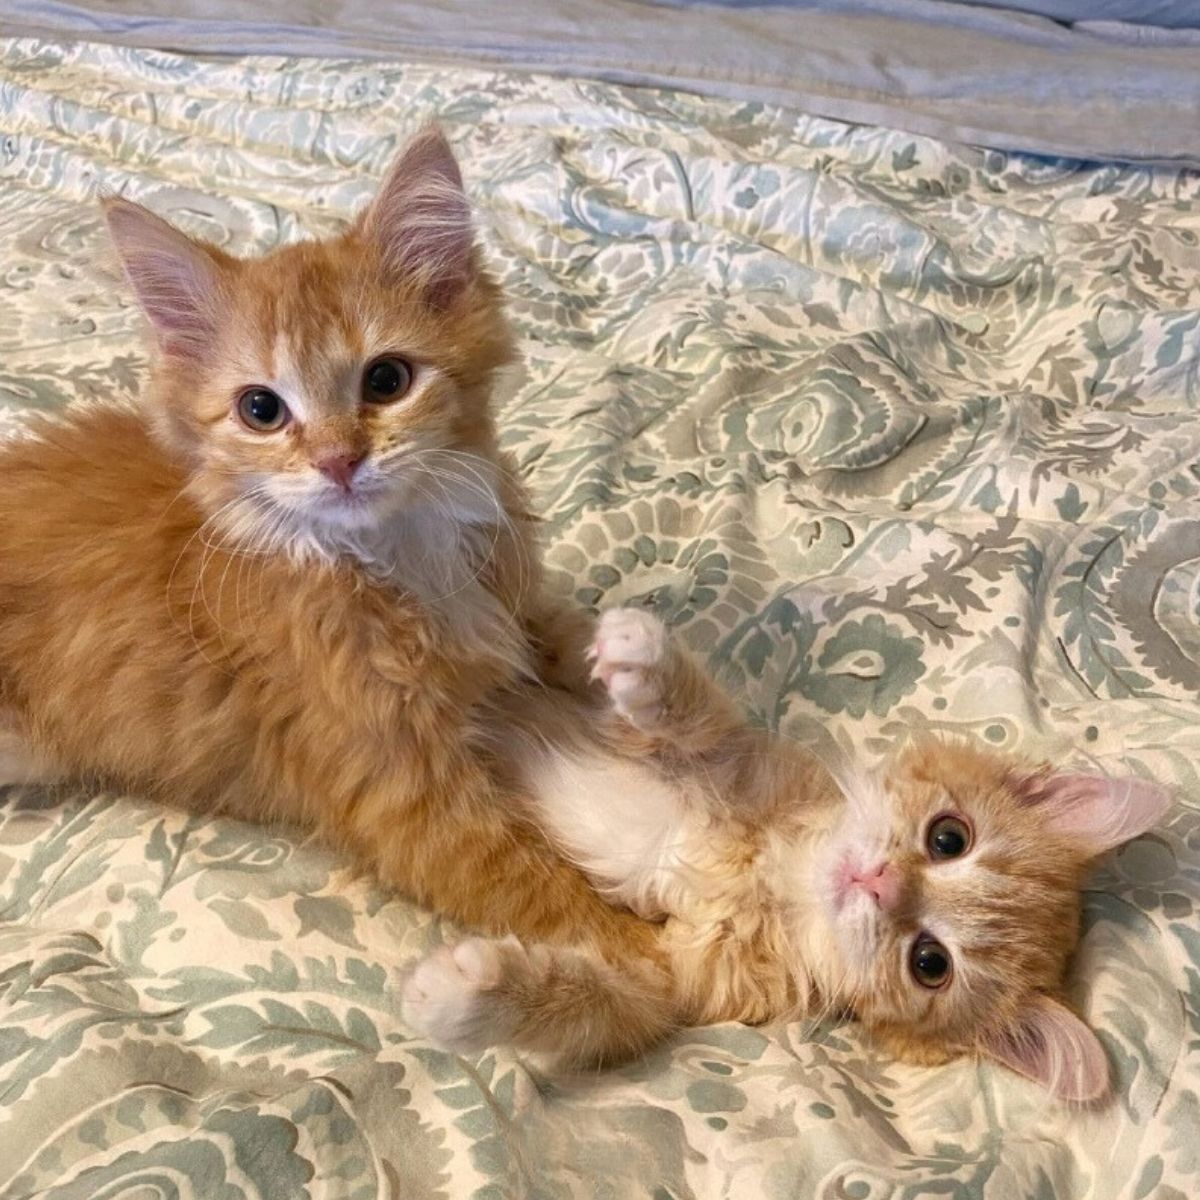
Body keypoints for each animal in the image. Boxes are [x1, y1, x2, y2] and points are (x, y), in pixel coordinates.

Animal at [400, 604, 1161, 1099]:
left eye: (930, 964)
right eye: (949, 838)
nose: (879, 883)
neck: (773, 880)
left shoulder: (666, 982)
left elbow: (589, 1004)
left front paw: (463, 995)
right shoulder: (736, 762)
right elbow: (703, 718)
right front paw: (646, 658)